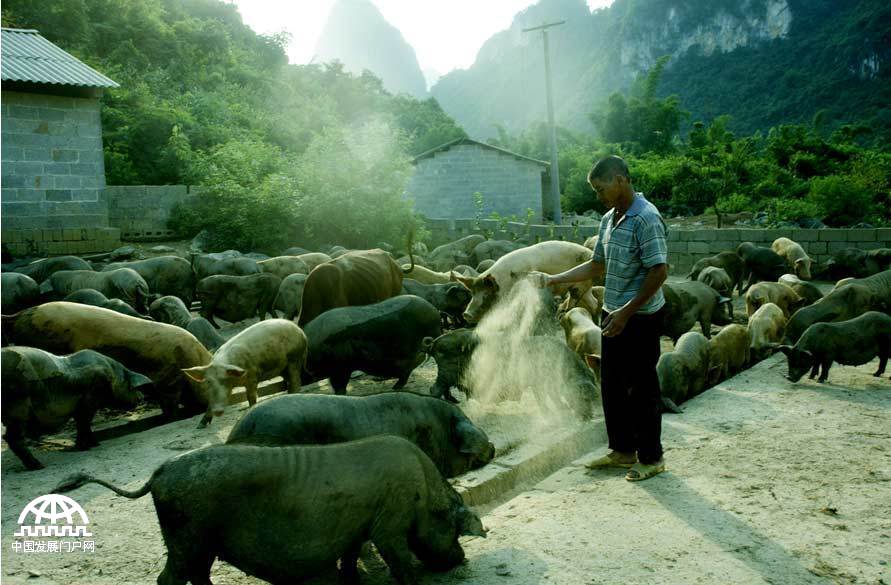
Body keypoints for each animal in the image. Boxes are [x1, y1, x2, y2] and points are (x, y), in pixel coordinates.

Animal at [2, 344, 152, 468]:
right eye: (133, 387)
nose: (142, 397)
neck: (113, 375)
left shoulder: (79, 406)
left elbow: (83, 424)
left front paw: (95, 444)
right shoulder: (90, 399)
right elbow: (83, 423)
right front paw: (84, 447)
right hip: (17, 402)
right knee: (12, 437)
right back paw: (38, 466)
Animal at [55, 434, 488, 584]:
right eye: (453, 527)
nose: (462, 558)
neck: (423, 491)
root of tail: (159, 473)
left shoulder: (358, 528)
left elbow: (349, 557)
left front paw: (350, 581)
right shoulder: (389, 527)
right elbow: (398, 561)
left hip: (199, 543)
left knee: (197, 575)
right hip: (185, 537)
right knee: (169, 579)